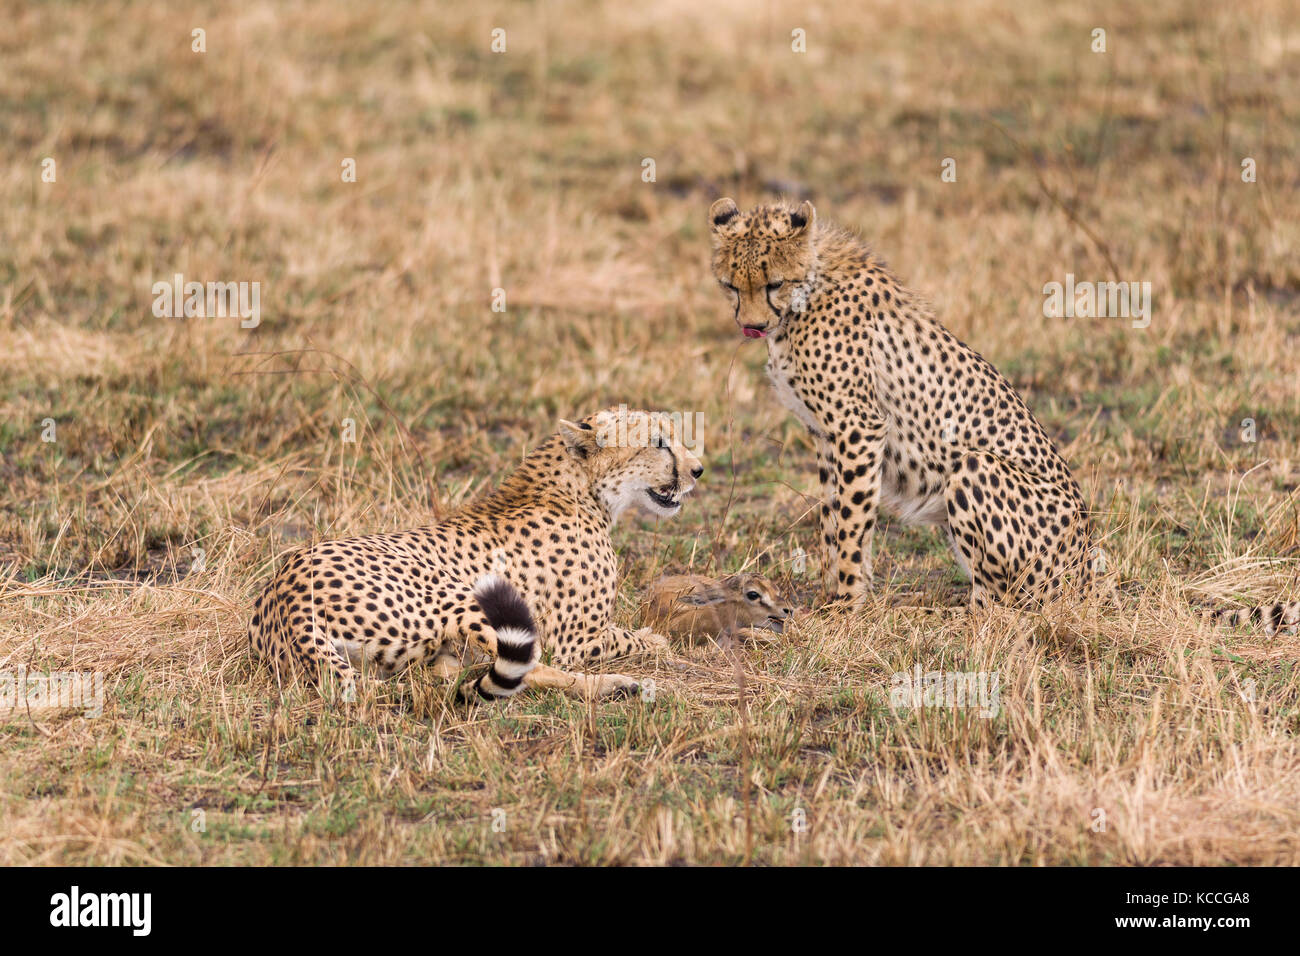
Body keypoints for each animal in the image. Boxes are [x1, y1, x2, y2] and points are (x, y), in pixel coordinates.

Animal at [248, 408, 707, 697]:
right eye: (659, 444)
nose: (698, 470)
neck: (578, 491)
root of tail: (282, 593)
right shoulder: (575, 641)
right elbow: (637, 639)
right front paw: (654, 643)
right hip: (459, 594)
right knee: (524, 669)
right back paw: (618, 685)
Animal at [712, 195, 1300, 632]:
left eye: (773, 282)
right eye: (730, 285)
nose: (750, 326)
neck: (806, 292)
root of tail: (1087, 565)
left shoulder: (857, 429)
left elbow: (852, 525)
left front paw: (844, 606)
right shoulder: (824, 435)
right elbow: (833, 521)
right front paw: (828, 592)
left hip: (975, 468)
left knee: (1007, 607)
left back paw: (939, 615)